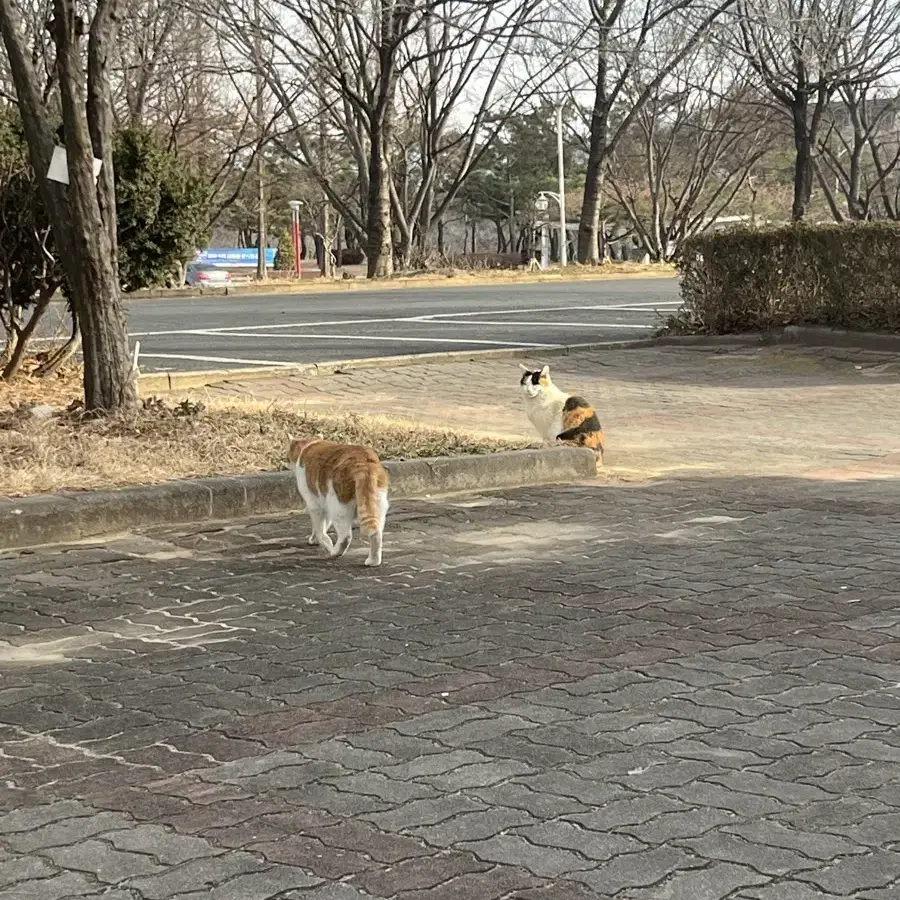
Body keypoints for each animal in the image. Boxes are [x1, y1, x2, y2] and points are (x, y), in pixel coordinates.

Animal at [288, 440, 386, 568]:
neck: (309, 444)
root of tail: (362, 462)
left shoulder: (315, 504)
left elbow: (320, 530)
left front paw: (324, 542)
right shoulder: (325, 503)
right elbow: (323, 525)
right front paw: (314, 539)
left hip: (339, 507)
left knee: (346, 537)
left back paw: (335, 552)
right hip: (376, 507)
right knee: (376, 534)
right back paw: (373, 561)